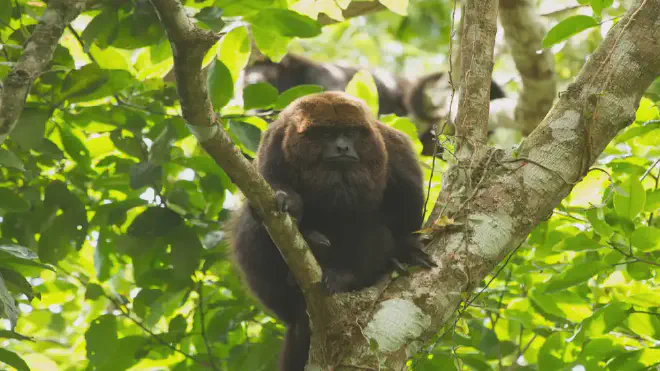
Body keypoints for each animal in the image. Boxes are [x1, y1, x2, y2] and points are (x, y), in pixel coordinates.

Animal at [229, 91, 436, 370]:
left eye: (350, 133)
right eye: (326, 134)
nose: (342, 147)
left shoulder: (392, 145)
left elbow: (408, 197)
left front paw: (406, 248)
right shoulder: (273, 144)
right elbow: (261, 199)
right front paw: (289, 201)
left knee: (376, 232)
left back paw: (348, 275)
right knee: (251, 227)